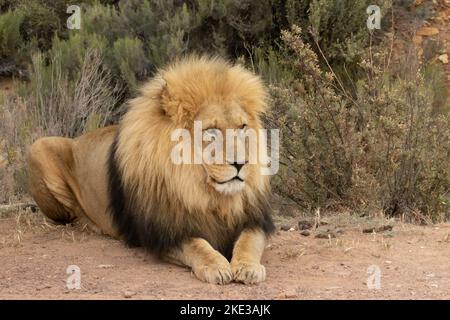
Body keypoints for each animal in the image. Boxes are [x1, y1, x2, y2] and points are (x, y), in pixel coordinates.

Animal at [28, 55, 276, 284]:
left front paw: (248, 267)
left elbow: (249, 241)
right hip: (38, 147)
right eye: (211, 131)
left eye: (242, 127)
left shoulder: (255, 219)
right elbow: (196, 245)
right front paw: (215, 265)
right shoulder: (163, 233)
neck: (199, 189)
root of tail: (79, 138)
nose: (242, 163)